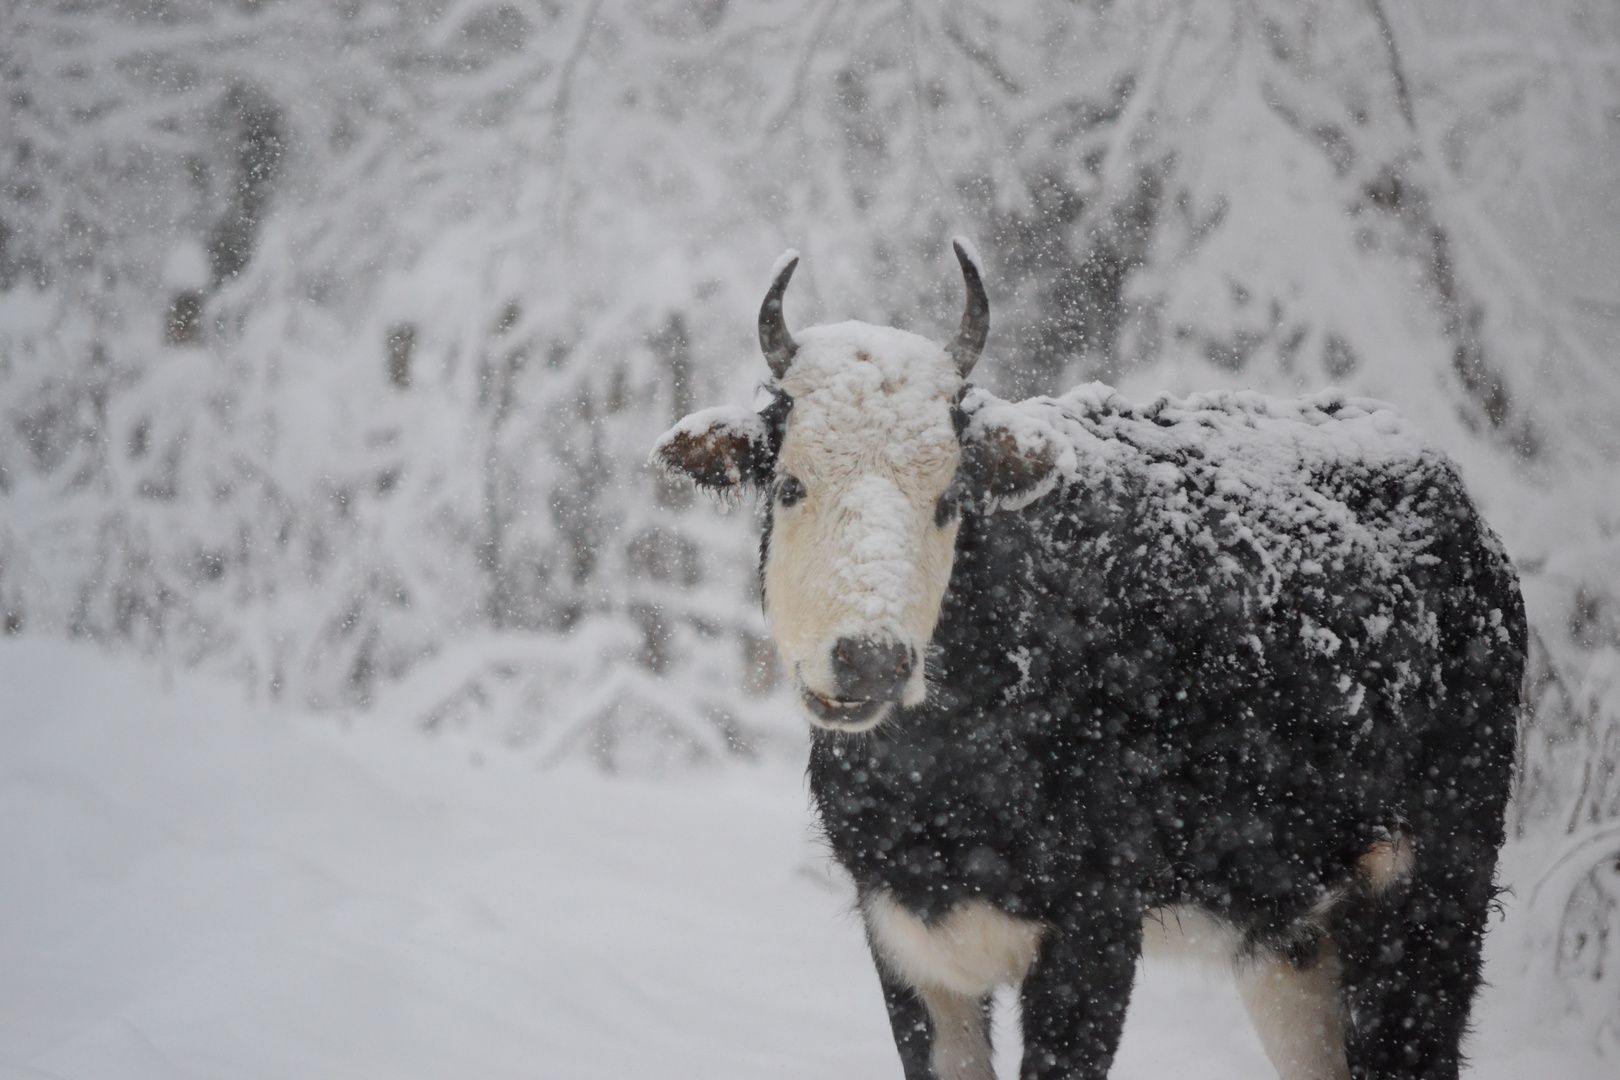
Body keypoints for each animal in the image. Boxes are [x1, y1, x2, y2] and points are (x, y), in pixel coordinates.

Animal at [651, 242, 1522, 1080]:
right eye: (791, 485)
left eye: (948, 499)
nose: (870, 659)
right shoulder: (903, 934)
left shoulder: (1094, 929)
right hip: (1292, 944)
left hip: (1433, 899)